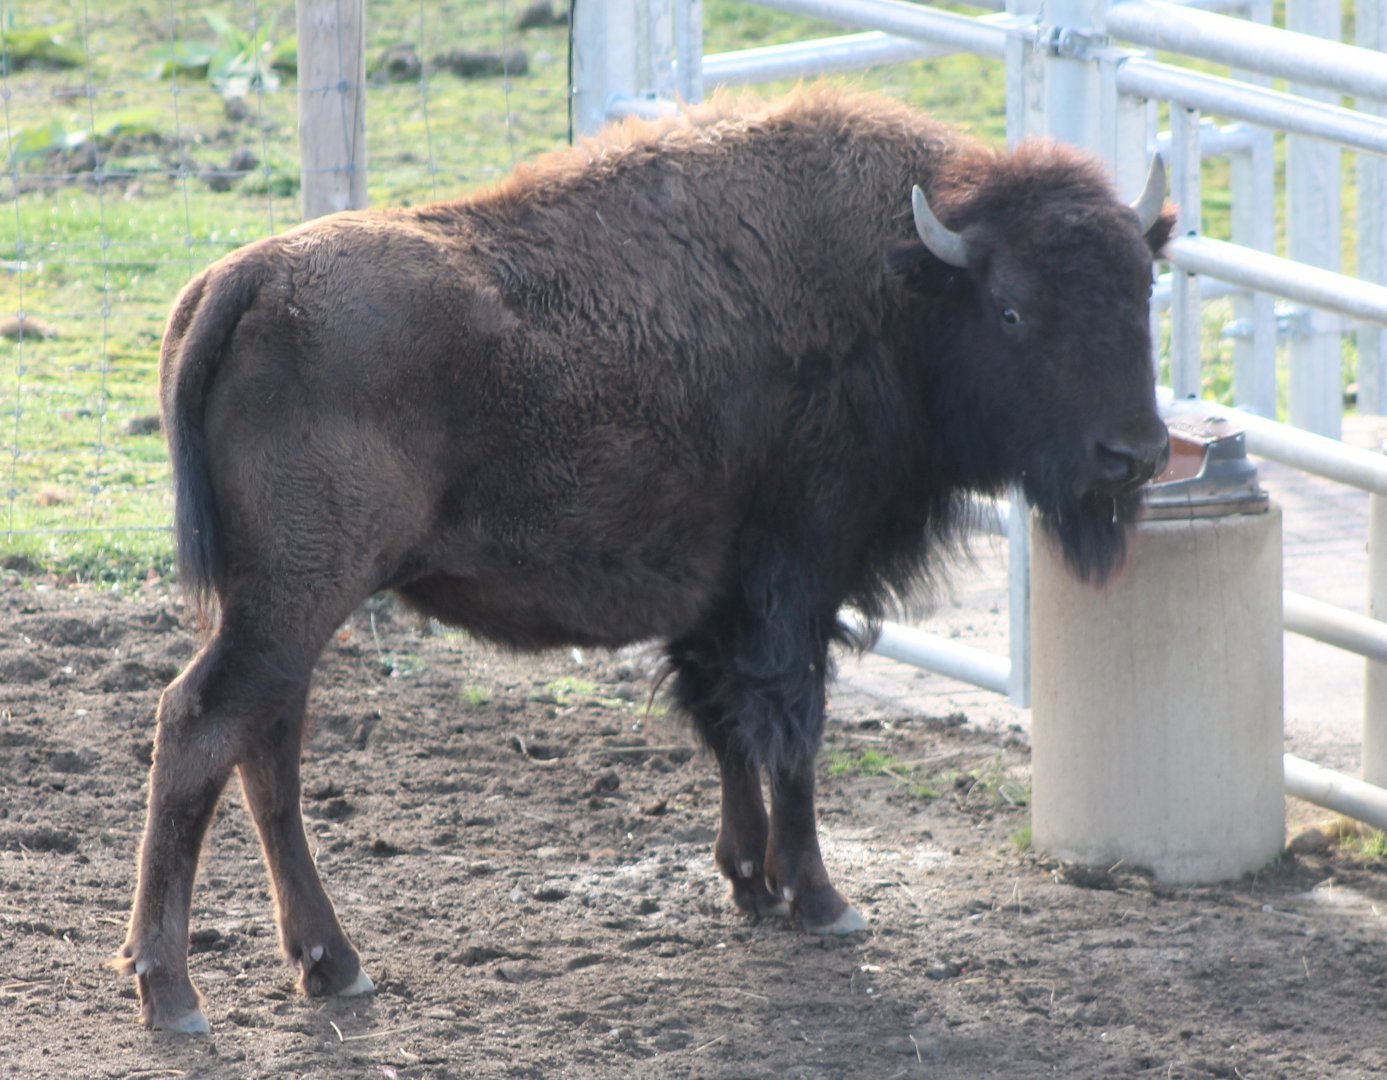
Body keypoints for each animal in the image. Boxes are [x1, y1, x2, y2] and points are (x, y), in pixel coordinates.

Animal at [115, 87, 1174, 1033]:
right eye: (1012, 310)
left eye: (1144, 293)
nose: (1133, 454)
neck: (903, 283)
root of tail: (245, 280)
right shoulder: (797, 580)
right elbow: (791, 732)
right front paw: (823, 902)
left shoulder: (717, 601)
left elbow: (727, 725)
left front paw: (751, 884)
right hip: (296, 598)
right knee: (199, 725)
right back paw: (175, 997)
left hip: (277, 609)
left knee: (267, 753)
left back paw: (331, 968)